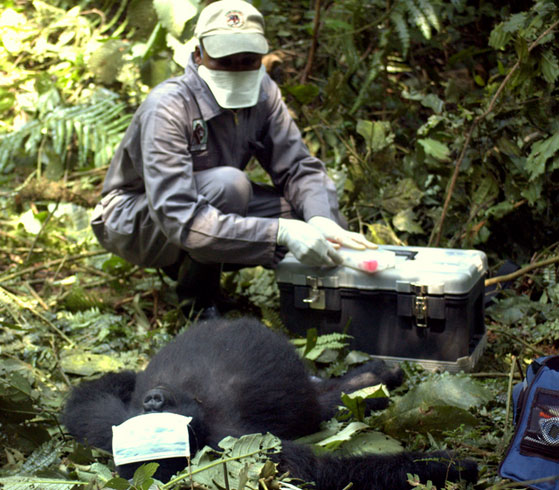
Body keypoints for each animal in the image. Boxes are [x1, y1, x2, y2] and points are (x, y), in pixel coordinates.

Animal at [63, 316, 480, 488]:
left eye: (154, 414)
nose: (152, 399)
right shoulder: (237, 450)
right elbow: (327, 473)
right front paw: (442, 466)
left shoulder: (106, 425)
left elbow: (84, 405)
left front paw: (125, 377)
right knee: (319, 406)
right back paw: (372, 380)